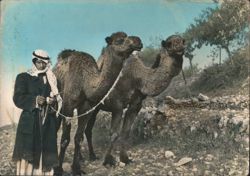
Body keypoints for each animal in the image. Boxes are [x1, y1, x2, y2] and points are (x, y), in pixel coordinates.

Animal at [52, 32, 143, 175]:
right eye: (119, 40)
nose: (138, 41)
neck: (85, 81)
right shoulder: (68, 105)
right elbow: (65, 139)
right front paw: (59, 169)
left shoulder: (86, 107)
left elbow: (78, 137)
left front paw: (77, 168)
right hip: (57, 101)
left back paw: (85, 157)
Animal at [84, 34, 186, 166]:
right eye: (169, 44)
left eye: (182, 41)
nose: (180, 47)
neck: (138, 78)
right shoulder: (116, 105)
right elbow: (114, 133)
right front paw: (107, 160)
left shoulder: (135, 105)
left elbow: (126, 131)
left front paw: (125, 159)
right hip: (92, 107)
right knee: (86, 130)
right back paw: (90, 156)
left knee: (87, 130)